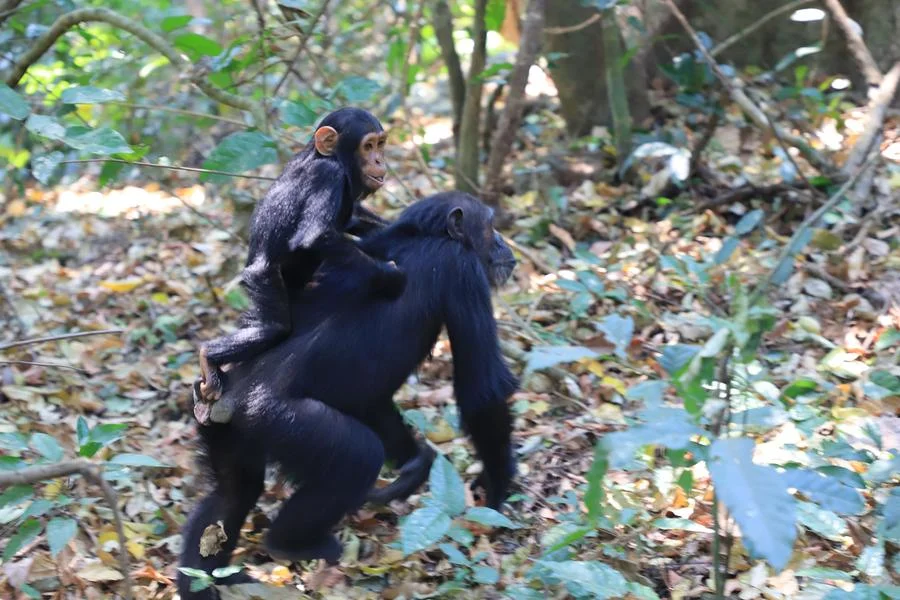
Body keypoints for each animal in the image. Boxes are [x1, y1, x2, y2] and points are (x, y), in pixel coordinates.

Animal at [179, 193, 516, 600]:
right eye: (491, 226)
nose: (505, 244)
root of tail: (223, 396)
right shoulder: (463, 272)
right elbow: (481, 386)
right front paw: (498, 492)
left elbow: (374, 400)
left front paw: (415, 467)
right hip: (280, 421)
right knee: (357, 456)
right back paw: (290, 544)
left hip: (222, 429)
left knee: (231, 495)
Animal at [200, 108, 408, 418]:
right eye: (368, 146)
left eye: (380, 144)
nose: (379, 160)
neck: (332, 158)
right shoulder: (328, 176)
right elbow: (315, 236)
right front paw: (390, 275)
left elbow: (353, 218)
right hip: (262, 279)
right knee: (273, 328)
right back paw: (209, 357)